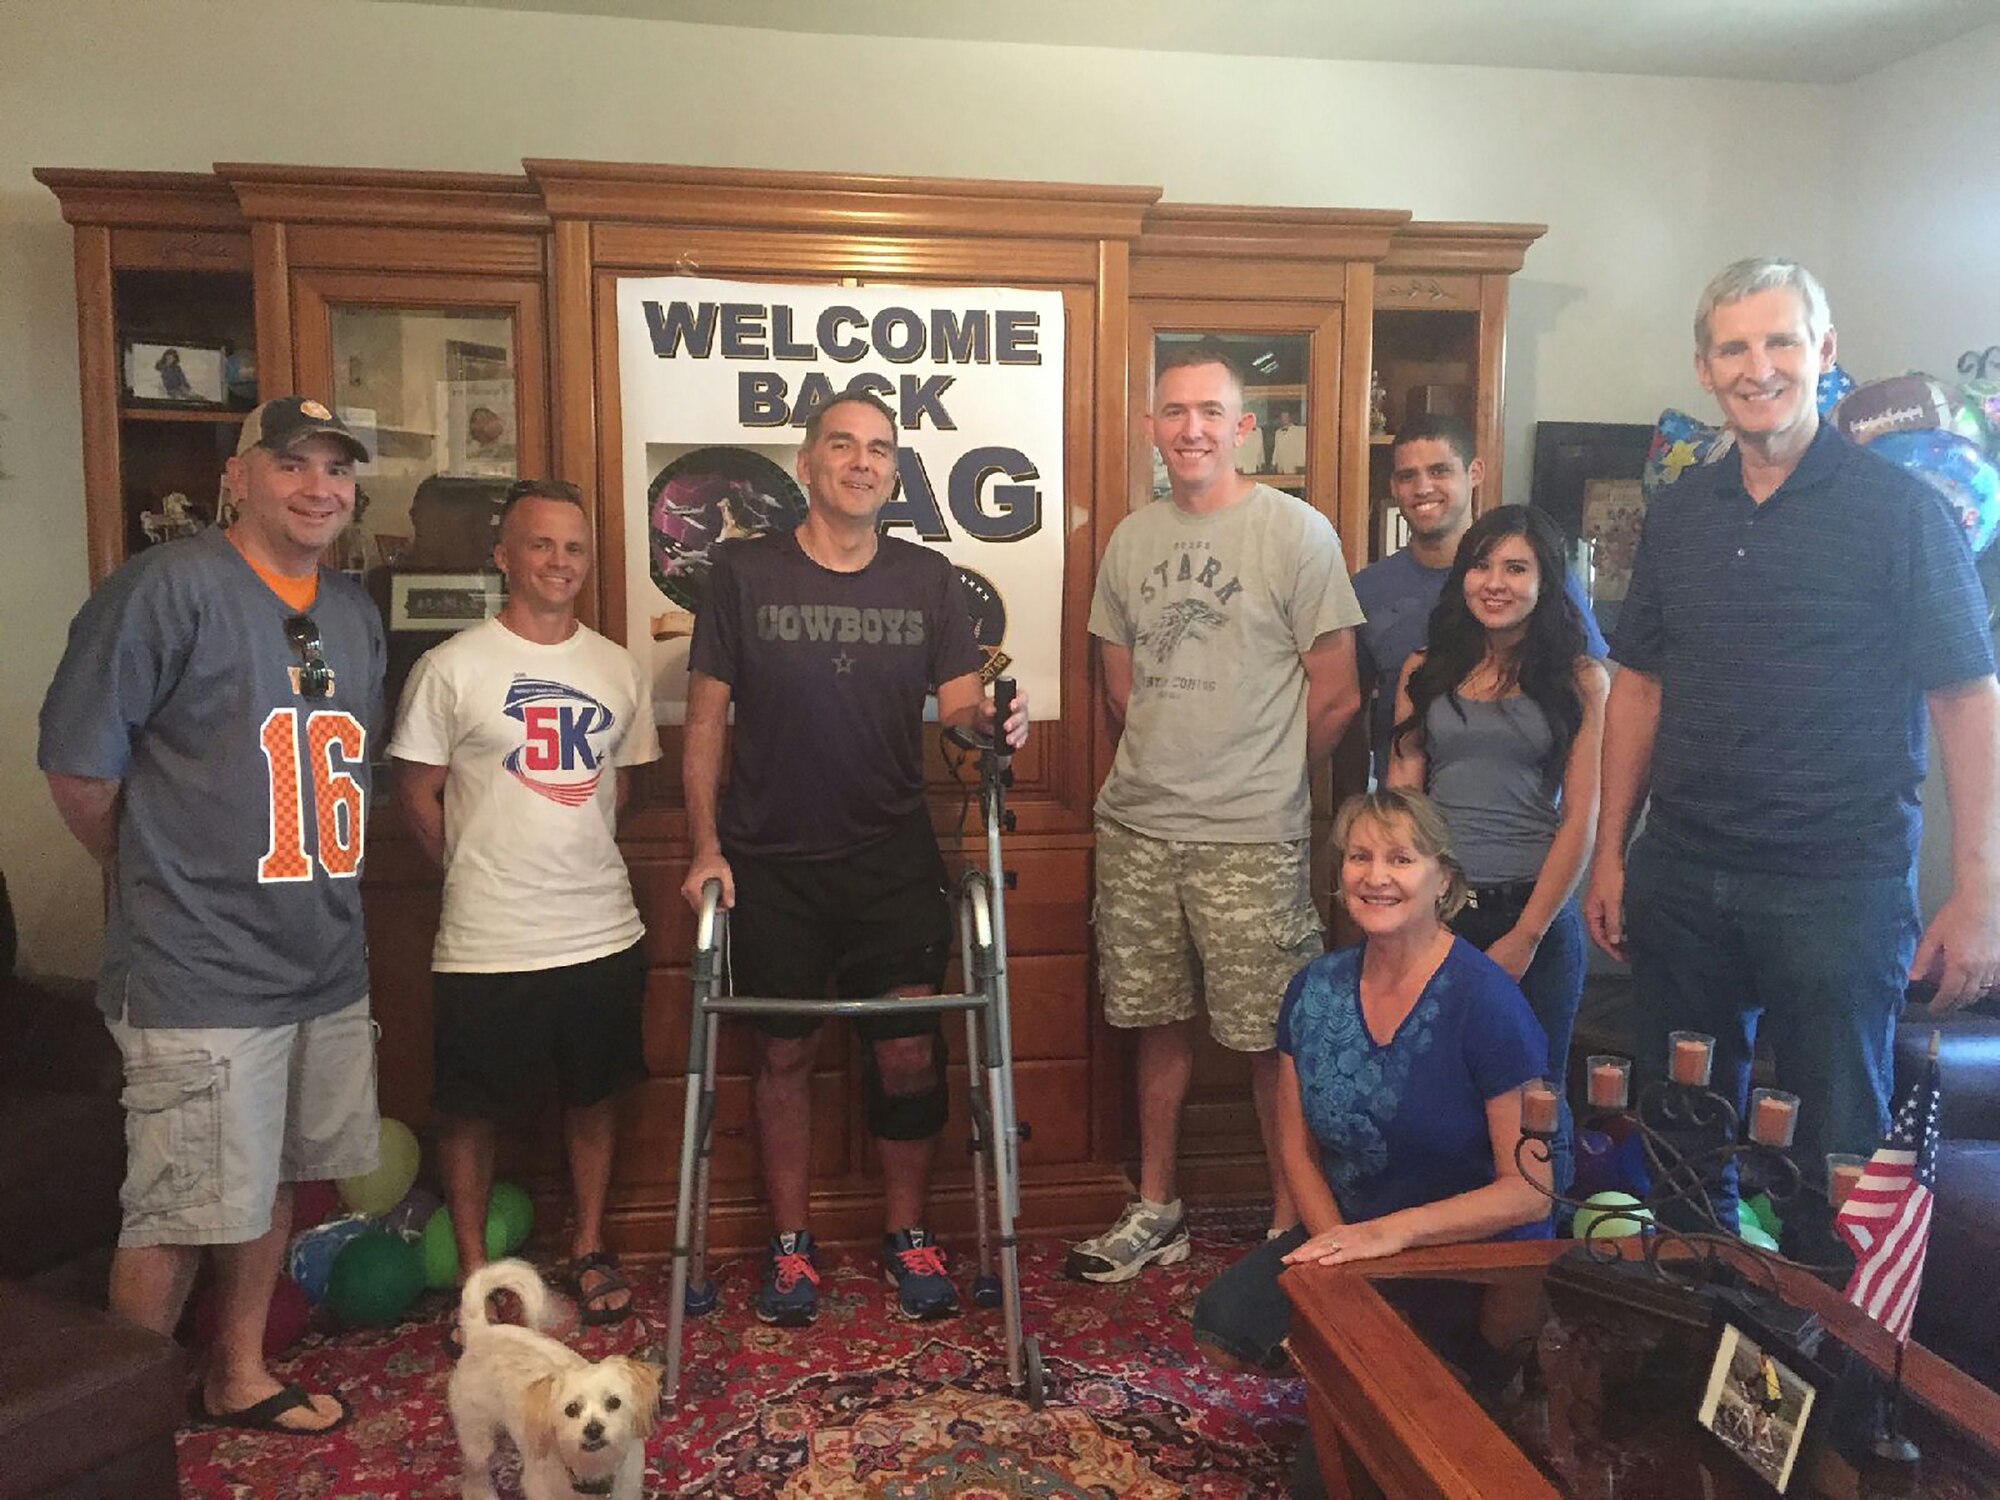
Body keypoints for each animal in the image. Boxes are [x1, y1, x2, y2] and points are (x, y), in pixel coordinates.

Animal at [450, 1264, 660, 1496]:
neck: (592, 1469)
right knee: (474, 1474)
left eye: (614, 1402)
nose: (593, 1429)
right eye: (571, 1409)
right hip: (477, 1437)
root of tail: (480, 1331)